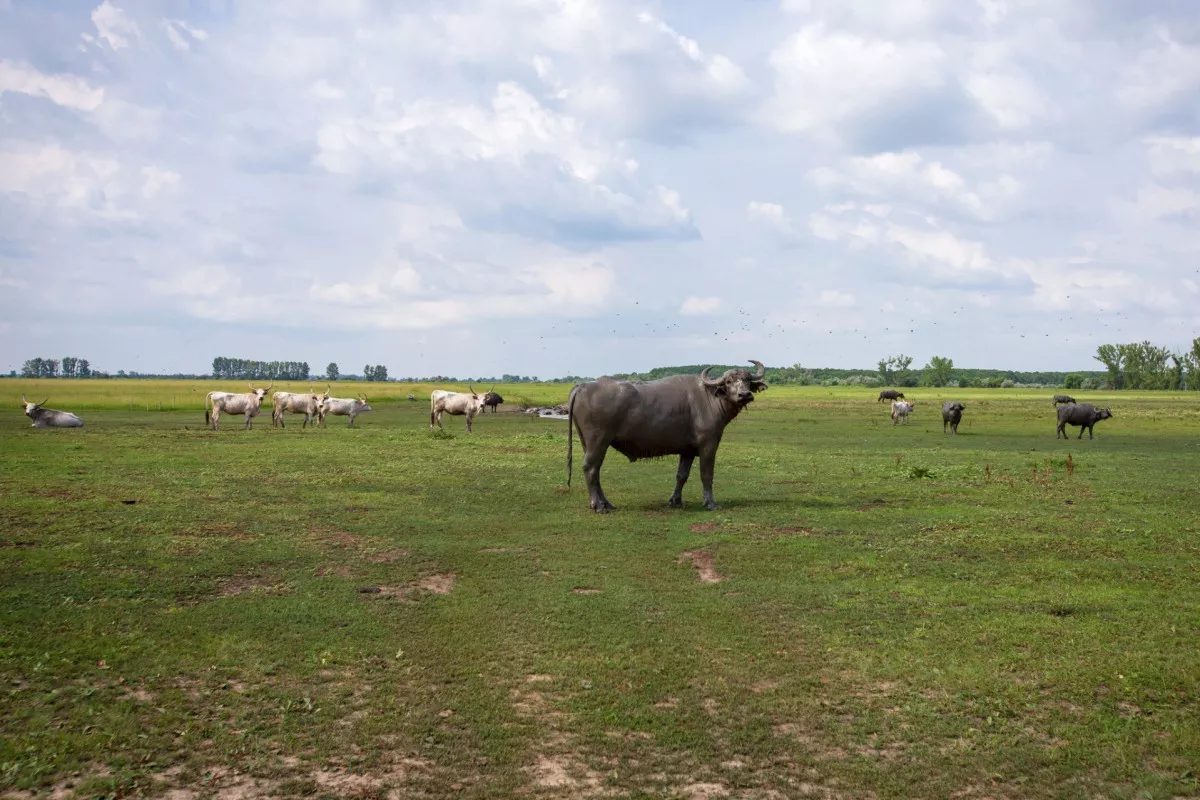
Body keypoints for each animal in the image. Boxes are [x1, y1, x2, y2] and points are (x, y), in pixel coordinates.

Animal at [564, 357, 768, 510]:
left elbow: (682, 475)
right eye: (729, 382)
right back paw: (597, 505)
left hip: (588, 443)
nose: (745, 395)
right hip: (598, 441)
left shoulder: (688, 450)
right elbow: (706, 474)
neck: (711, 398)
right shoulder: (708, 445)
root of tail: (582, 386)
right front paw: (710, 503)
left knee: (595, 471)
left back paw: (606, 503)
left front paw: (675, 501)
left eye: (747, 380)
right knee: (590, 468)